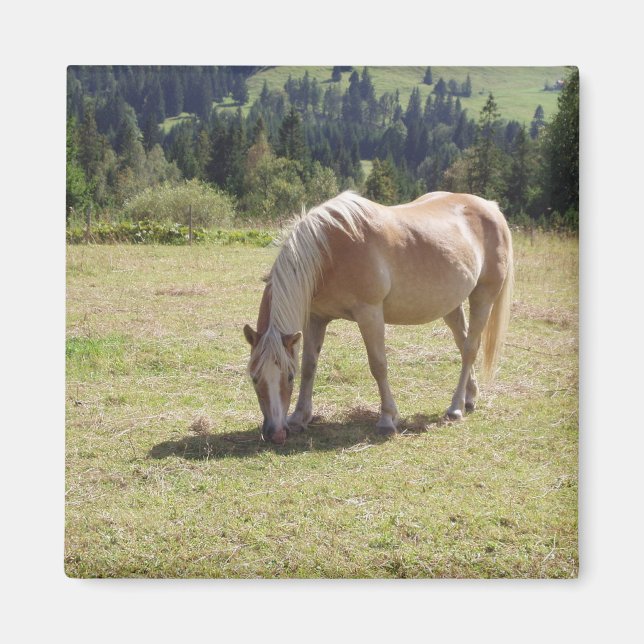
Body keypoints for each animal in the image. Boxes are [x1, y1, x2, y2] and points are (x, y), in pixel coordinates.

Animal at [243, 191, 514, 444]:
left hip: (483, 297)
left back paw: (455, 407)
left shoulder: (369, 313)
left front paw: (387, 419)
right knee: (463, 343)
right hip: (451, 305)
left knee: (469, 348)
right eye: (254, 377)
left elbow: (378, 365)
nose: (276, 433)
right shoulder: (316, 319)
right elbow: (310, 365)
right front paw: (300, 417)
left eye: (289, 376)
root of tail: (491, 207)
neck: (329, 251)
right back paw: (470, 398)